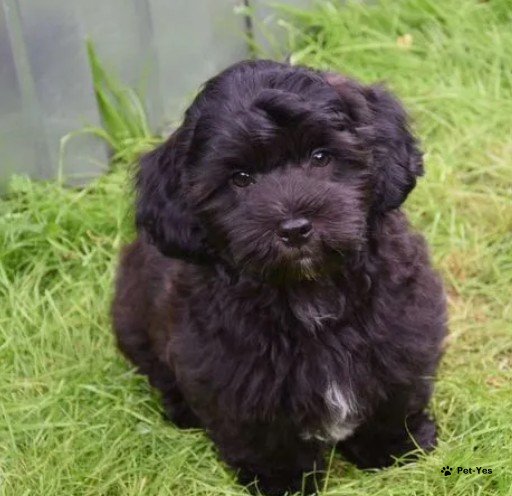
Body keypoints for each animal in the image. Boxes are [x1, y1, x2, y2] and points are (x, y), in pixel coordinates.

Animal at [112, 59, 447, 495]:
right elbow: (265, 437)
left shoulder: (401, 333)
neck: (309, 292)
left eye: (321, 156)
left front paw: (396, 449)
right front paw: (284, 482)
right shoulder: (235, 377)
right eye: (240, 178)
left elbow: (394, 395)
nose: (294, 228)